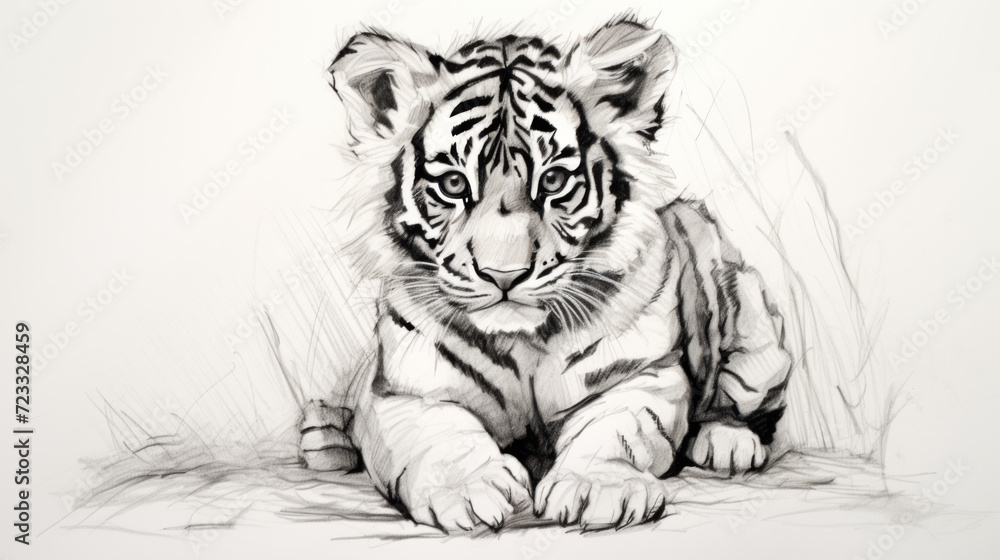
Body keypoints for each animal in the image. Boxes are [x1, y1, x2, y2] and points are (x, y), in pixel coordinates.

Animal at [299, 17, 792, 532]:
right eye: (454, 183)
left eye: (553, 180)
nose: (504, 275)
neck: (524, 344)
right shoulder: (403, 391)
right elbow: (437, 435)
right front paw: (469, 489)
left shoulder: (641, 374)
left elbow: (619, 428)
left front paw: (599, 488)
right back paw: (324, 436)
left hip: (739, 309)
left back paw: (728, 442)